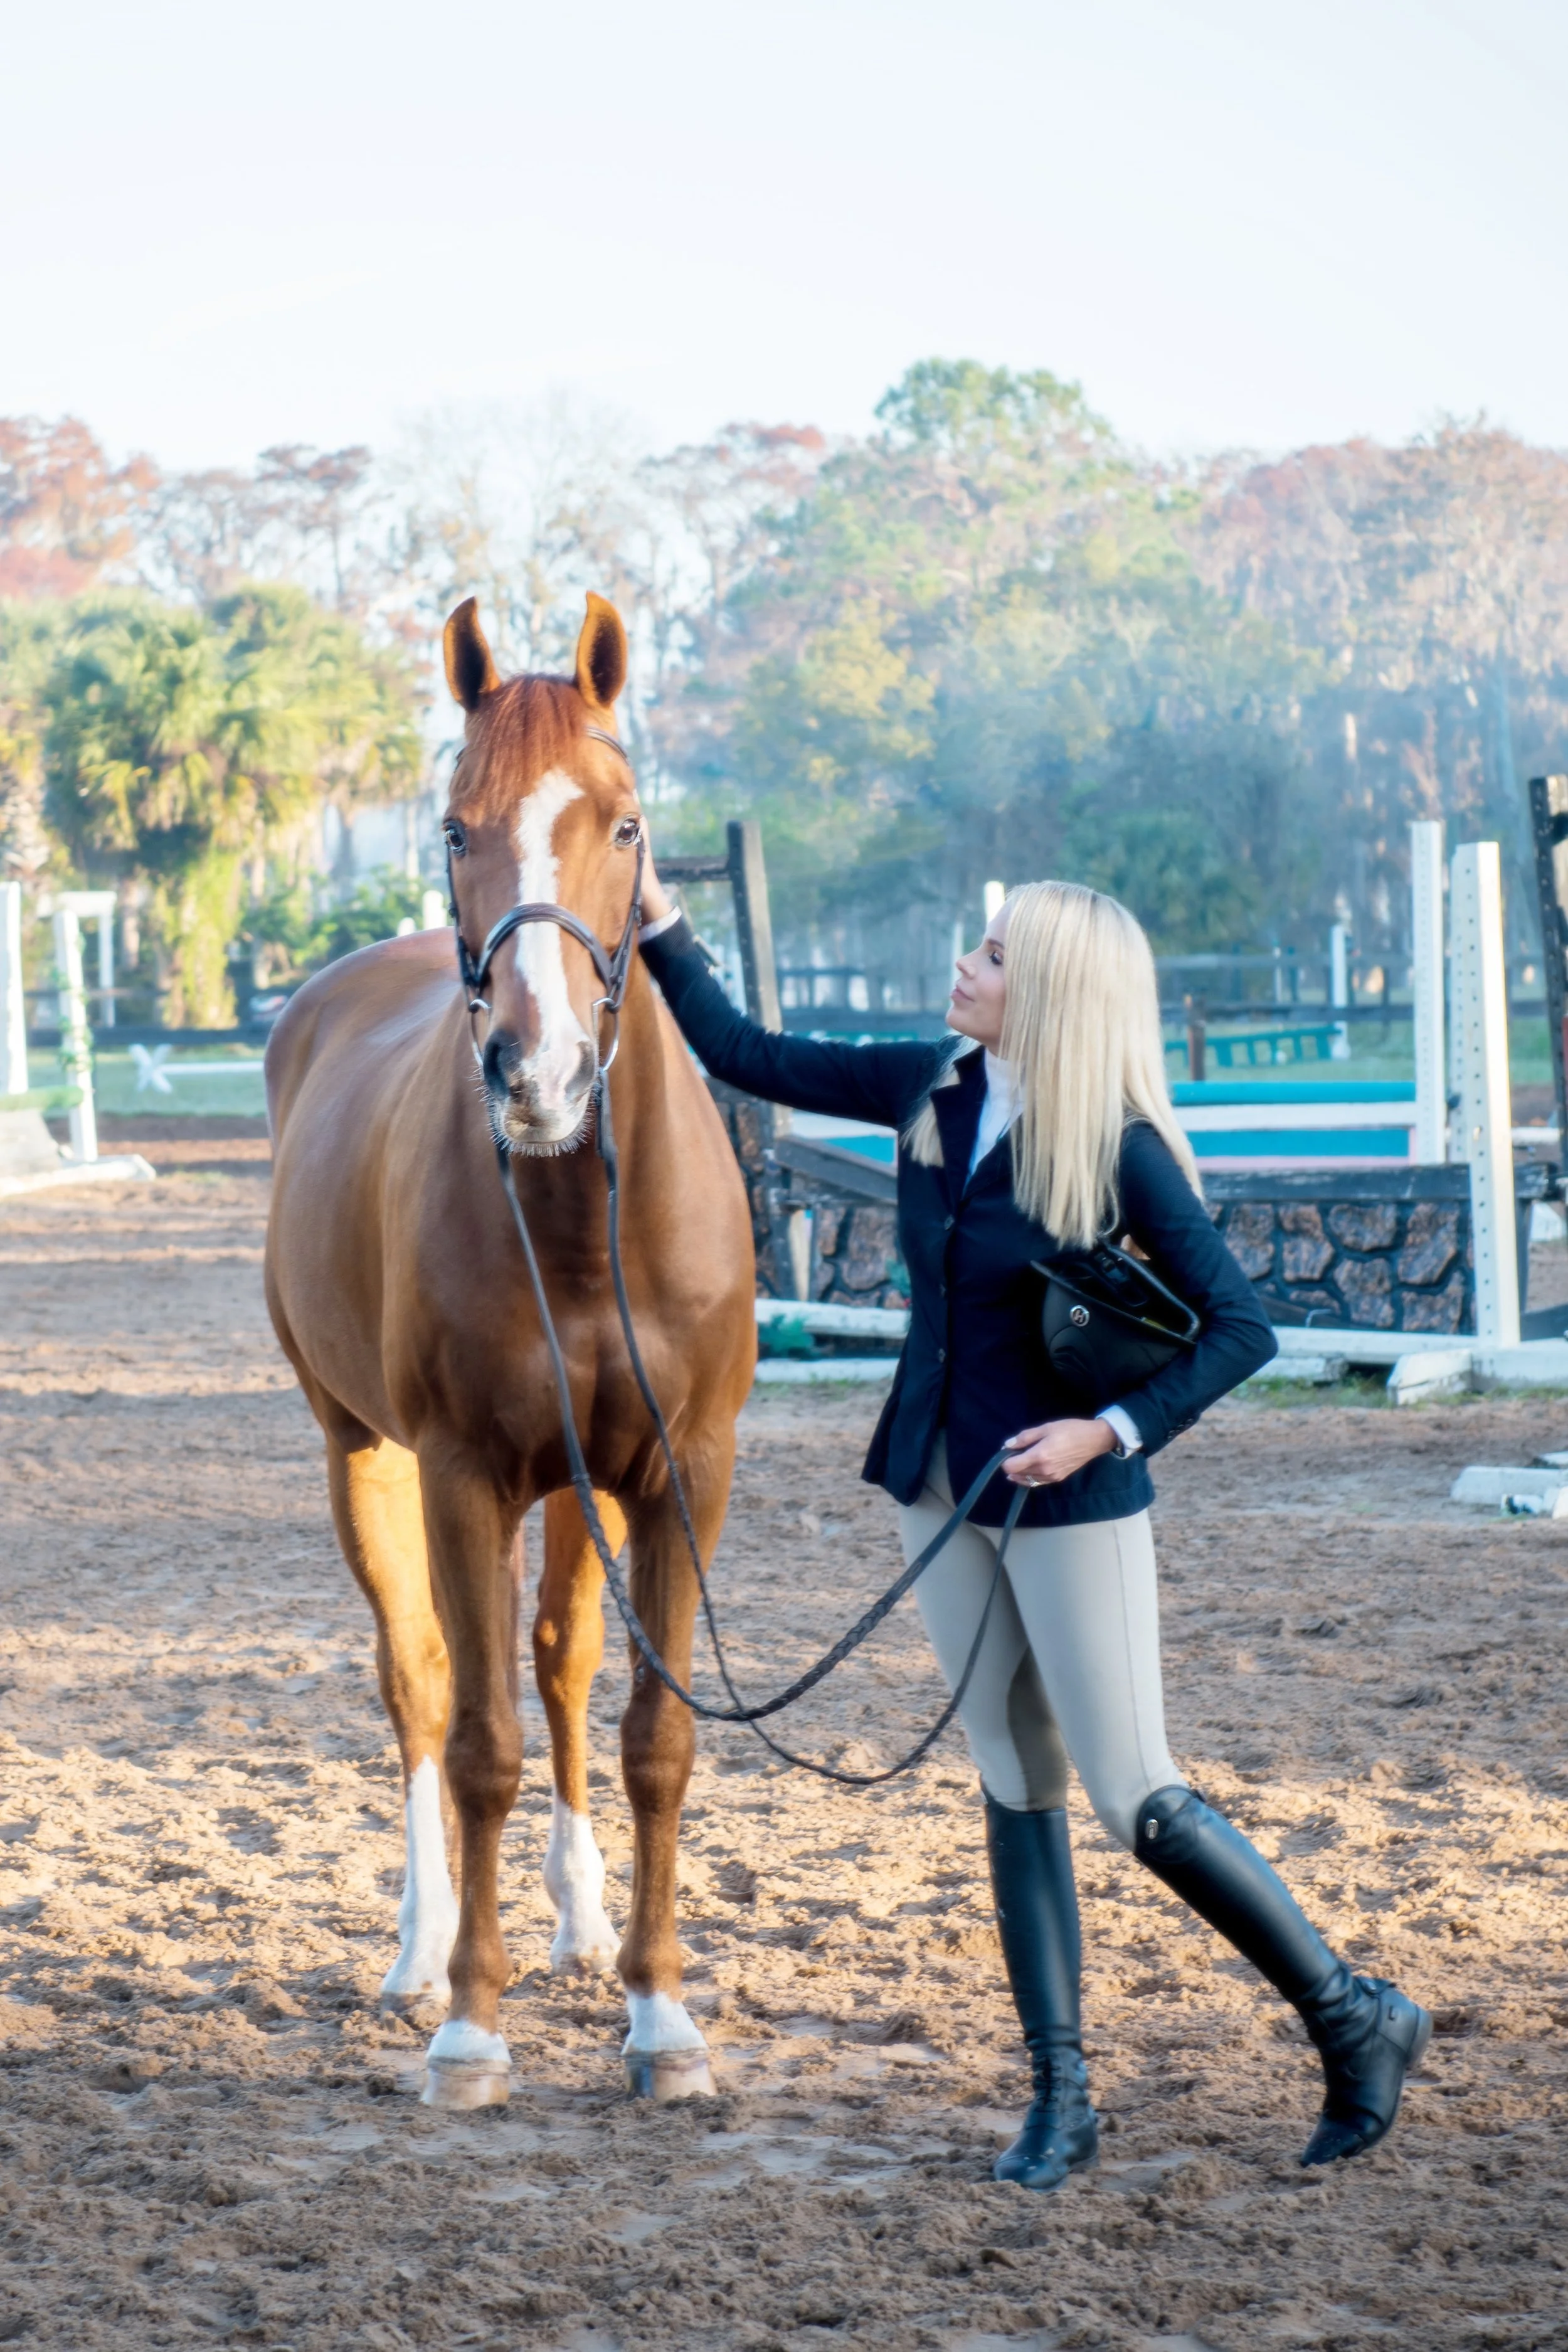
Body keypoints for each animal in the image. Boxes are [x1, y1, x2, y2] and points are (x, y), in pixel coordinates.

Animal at [263, 592, 756, 2108]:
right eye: (452, 829)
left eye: (626, 822)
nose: (535, 1076)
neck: (577, 1224)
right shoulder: (462, 1476)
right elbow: (477, 1740)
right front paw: (472, 2027)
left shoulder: (677, 1475)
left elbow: (652, 1737)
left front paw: (659, 2015)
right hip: (359, 1459)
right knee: (422, 1685)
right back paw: (422, 1953)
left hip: (583, 1490)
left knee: (563, 1663)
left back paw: (582, 1927)